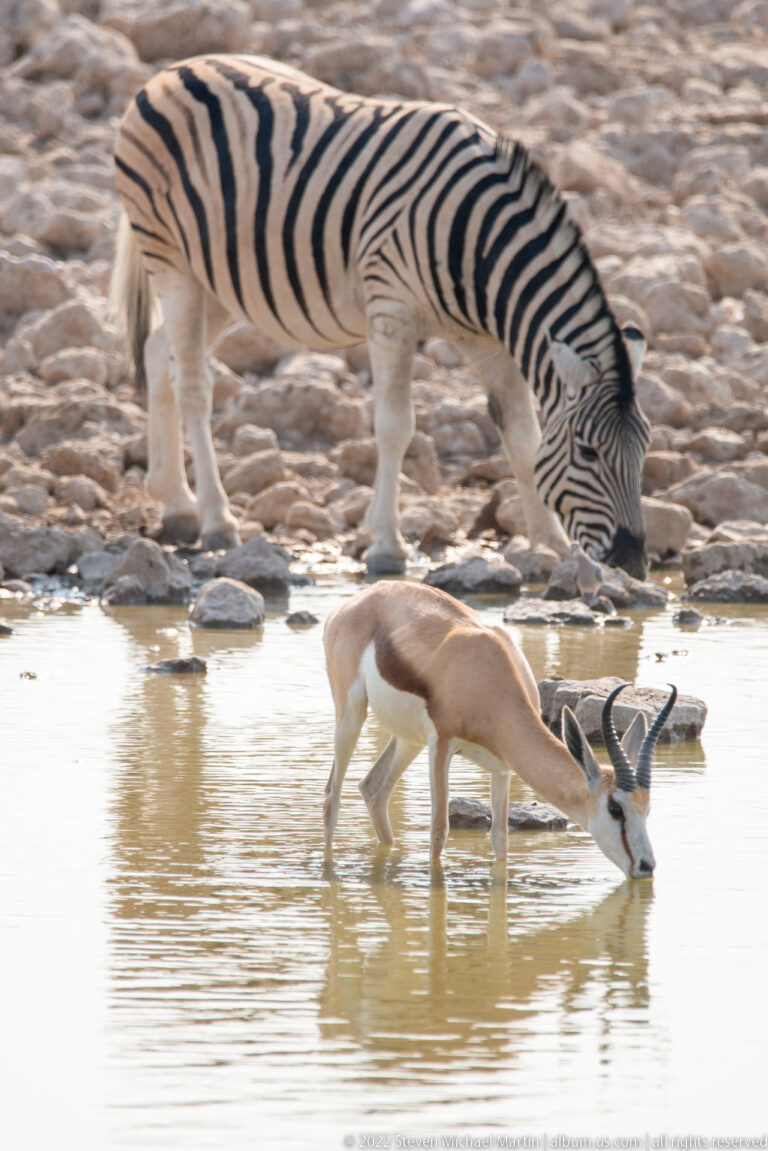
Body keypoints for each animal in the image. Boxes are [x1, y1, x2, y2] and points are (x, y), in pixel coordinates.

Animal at [112, 53, 651, 578]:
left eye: (644, 450)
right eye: (588, 451)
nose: (633, 562)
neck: (478, 248)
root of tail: (171, 70)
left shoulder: (489, 340)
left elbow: (522, 433)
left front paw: (551, 544)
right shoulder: (392, 310)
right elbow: (396, 425)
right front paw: (387, 546)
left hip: (224, 281)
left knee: (158, 353)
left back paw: (178, 505)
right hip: (173, 261)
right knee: (193, 385)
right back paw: (216, 521)